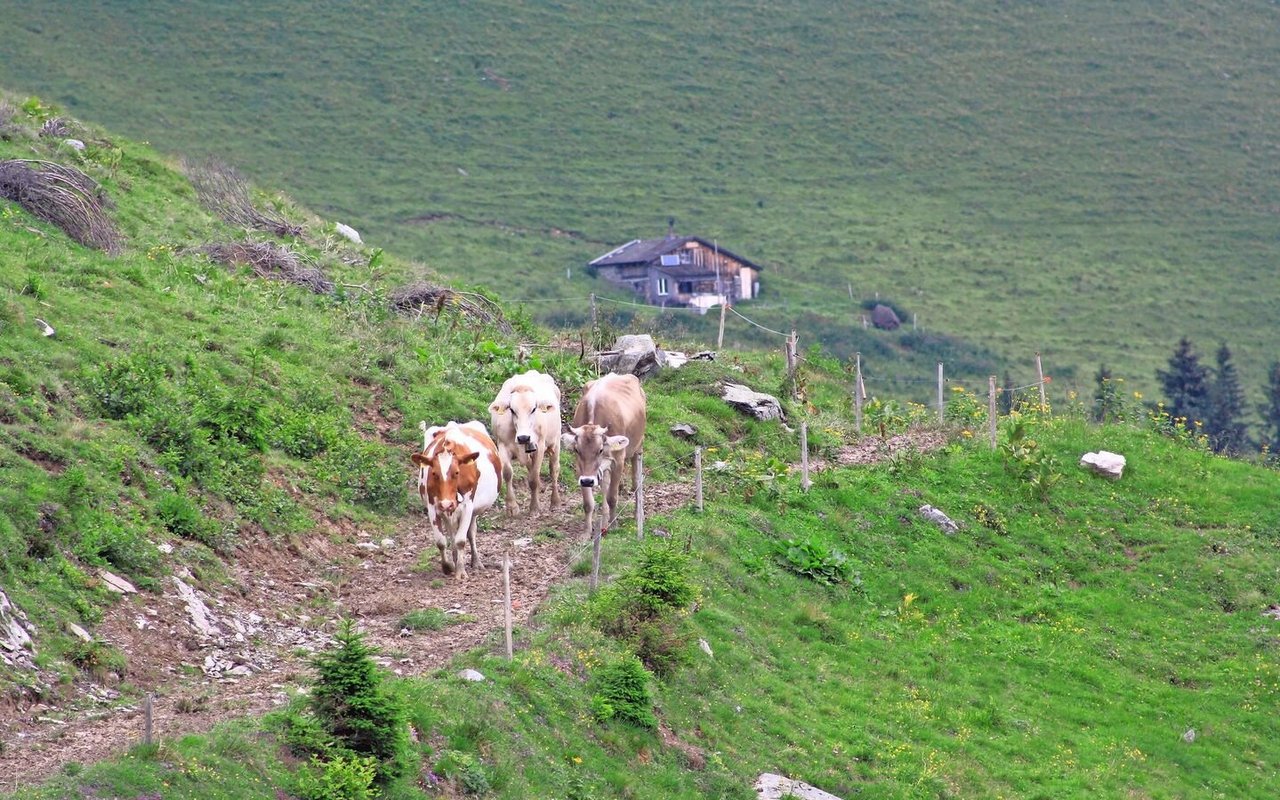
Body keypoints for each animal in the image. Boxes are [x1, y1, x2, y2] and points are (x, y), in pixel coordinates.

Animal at [414, 417, 504, 581]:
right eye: (434, 473)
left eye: (457, 472)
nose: (446, 504)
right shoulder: (432, 507)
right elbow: (441, 541)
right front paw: (447, 566)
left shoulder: (468, 505)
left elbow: (461, 540)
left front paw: (461, 571)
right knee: (451, 533)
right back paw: (455, 558)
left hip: (473, 510)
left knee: (471, 533)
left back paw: (476, 561)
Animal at [486, 368, 563, 514]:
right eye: (512, 409)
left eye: (533, 409)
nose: (524, 438)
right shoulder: (502, 445)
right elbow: (507, 473)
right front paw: (512, 506)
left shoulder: (540, 446)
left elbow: (533, 478)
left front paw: (534, 507)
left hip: (555, 441)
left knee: (554, 469)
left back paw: (555, 501)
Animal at [560, 371, 645, 532]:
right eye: (577, 450)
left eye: (600, 450)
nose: (587, 481)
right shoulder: (580, 468)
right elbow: (588, 503)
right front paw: (587, 532)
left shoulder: (618, 461)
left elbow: (612, 497)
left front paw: (614, 525)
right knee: (605, 484)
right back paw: (604, 522)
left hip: (638, 447)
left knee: (636, 480)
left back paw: (638, 515)